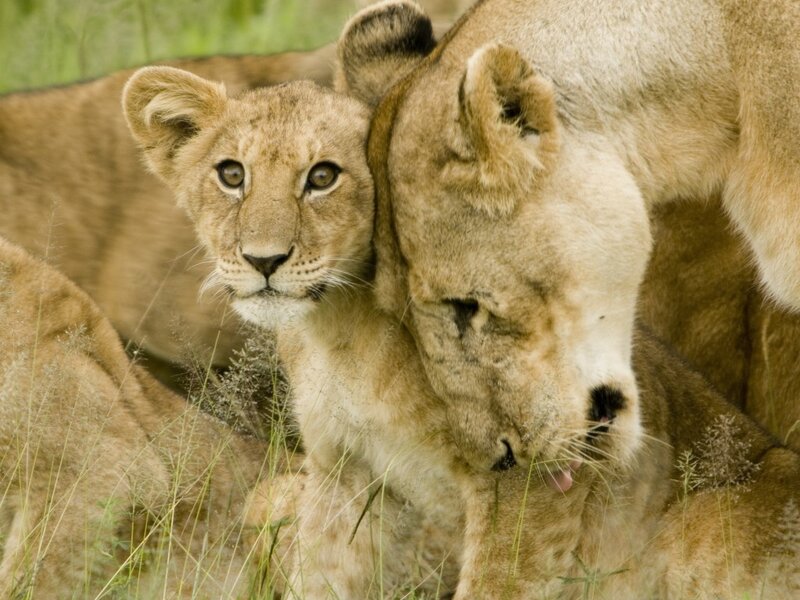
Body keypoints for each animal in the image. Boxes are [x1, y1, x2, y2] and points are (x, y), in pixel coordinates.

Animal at [124, 54, 799, 600]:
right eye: (231, 174)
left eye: (322, 176)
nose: (263, 261)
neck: (340, 333)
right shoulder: (343, 471)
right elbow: (322, 574)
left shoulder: (530, 475)